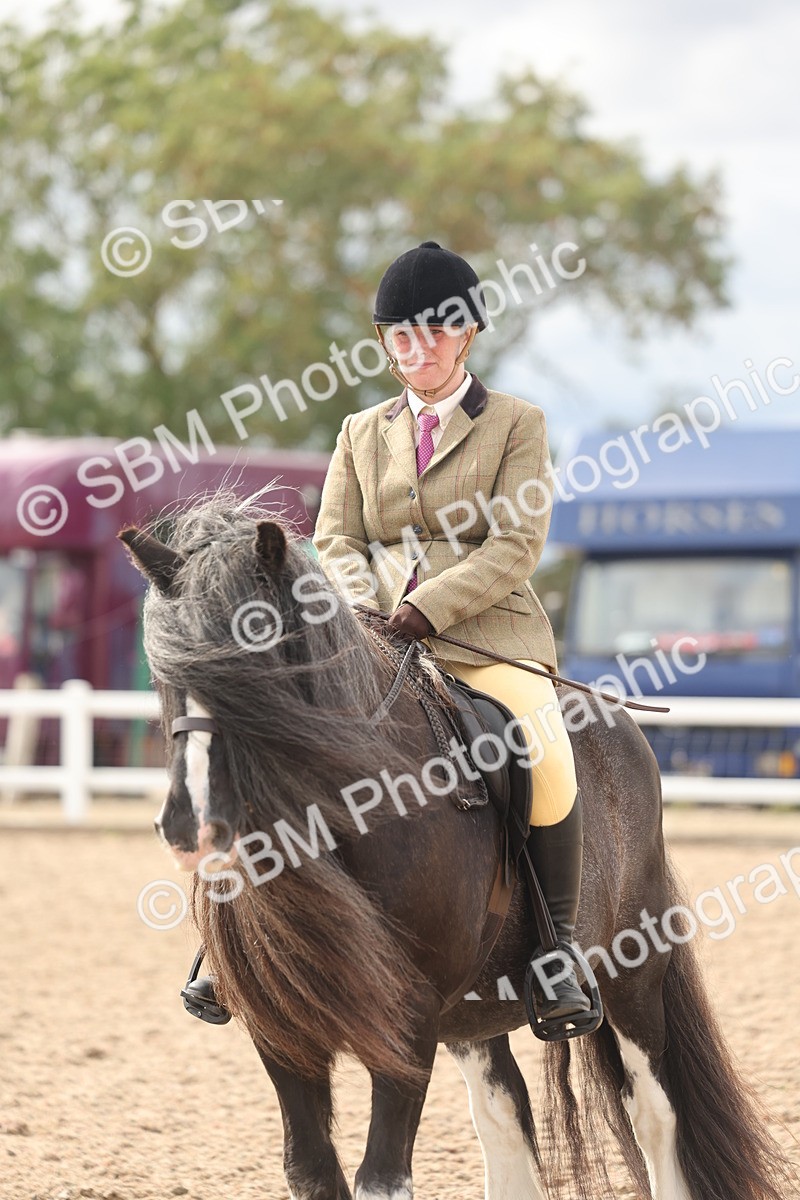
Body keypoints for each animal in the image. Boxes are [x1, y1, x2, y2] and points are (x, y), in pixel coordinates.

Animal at [120, 494, 797, 1200]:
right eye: (167, 671)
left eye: (260, 665)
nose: (193, 824)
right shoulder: (280, 1025)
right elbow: (311, 1172)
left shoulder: (411, 1019)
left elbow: (381, 1178)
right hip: (473, 1013)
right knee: (503, 1113)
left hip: (631, 973)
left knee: (655, 1114)